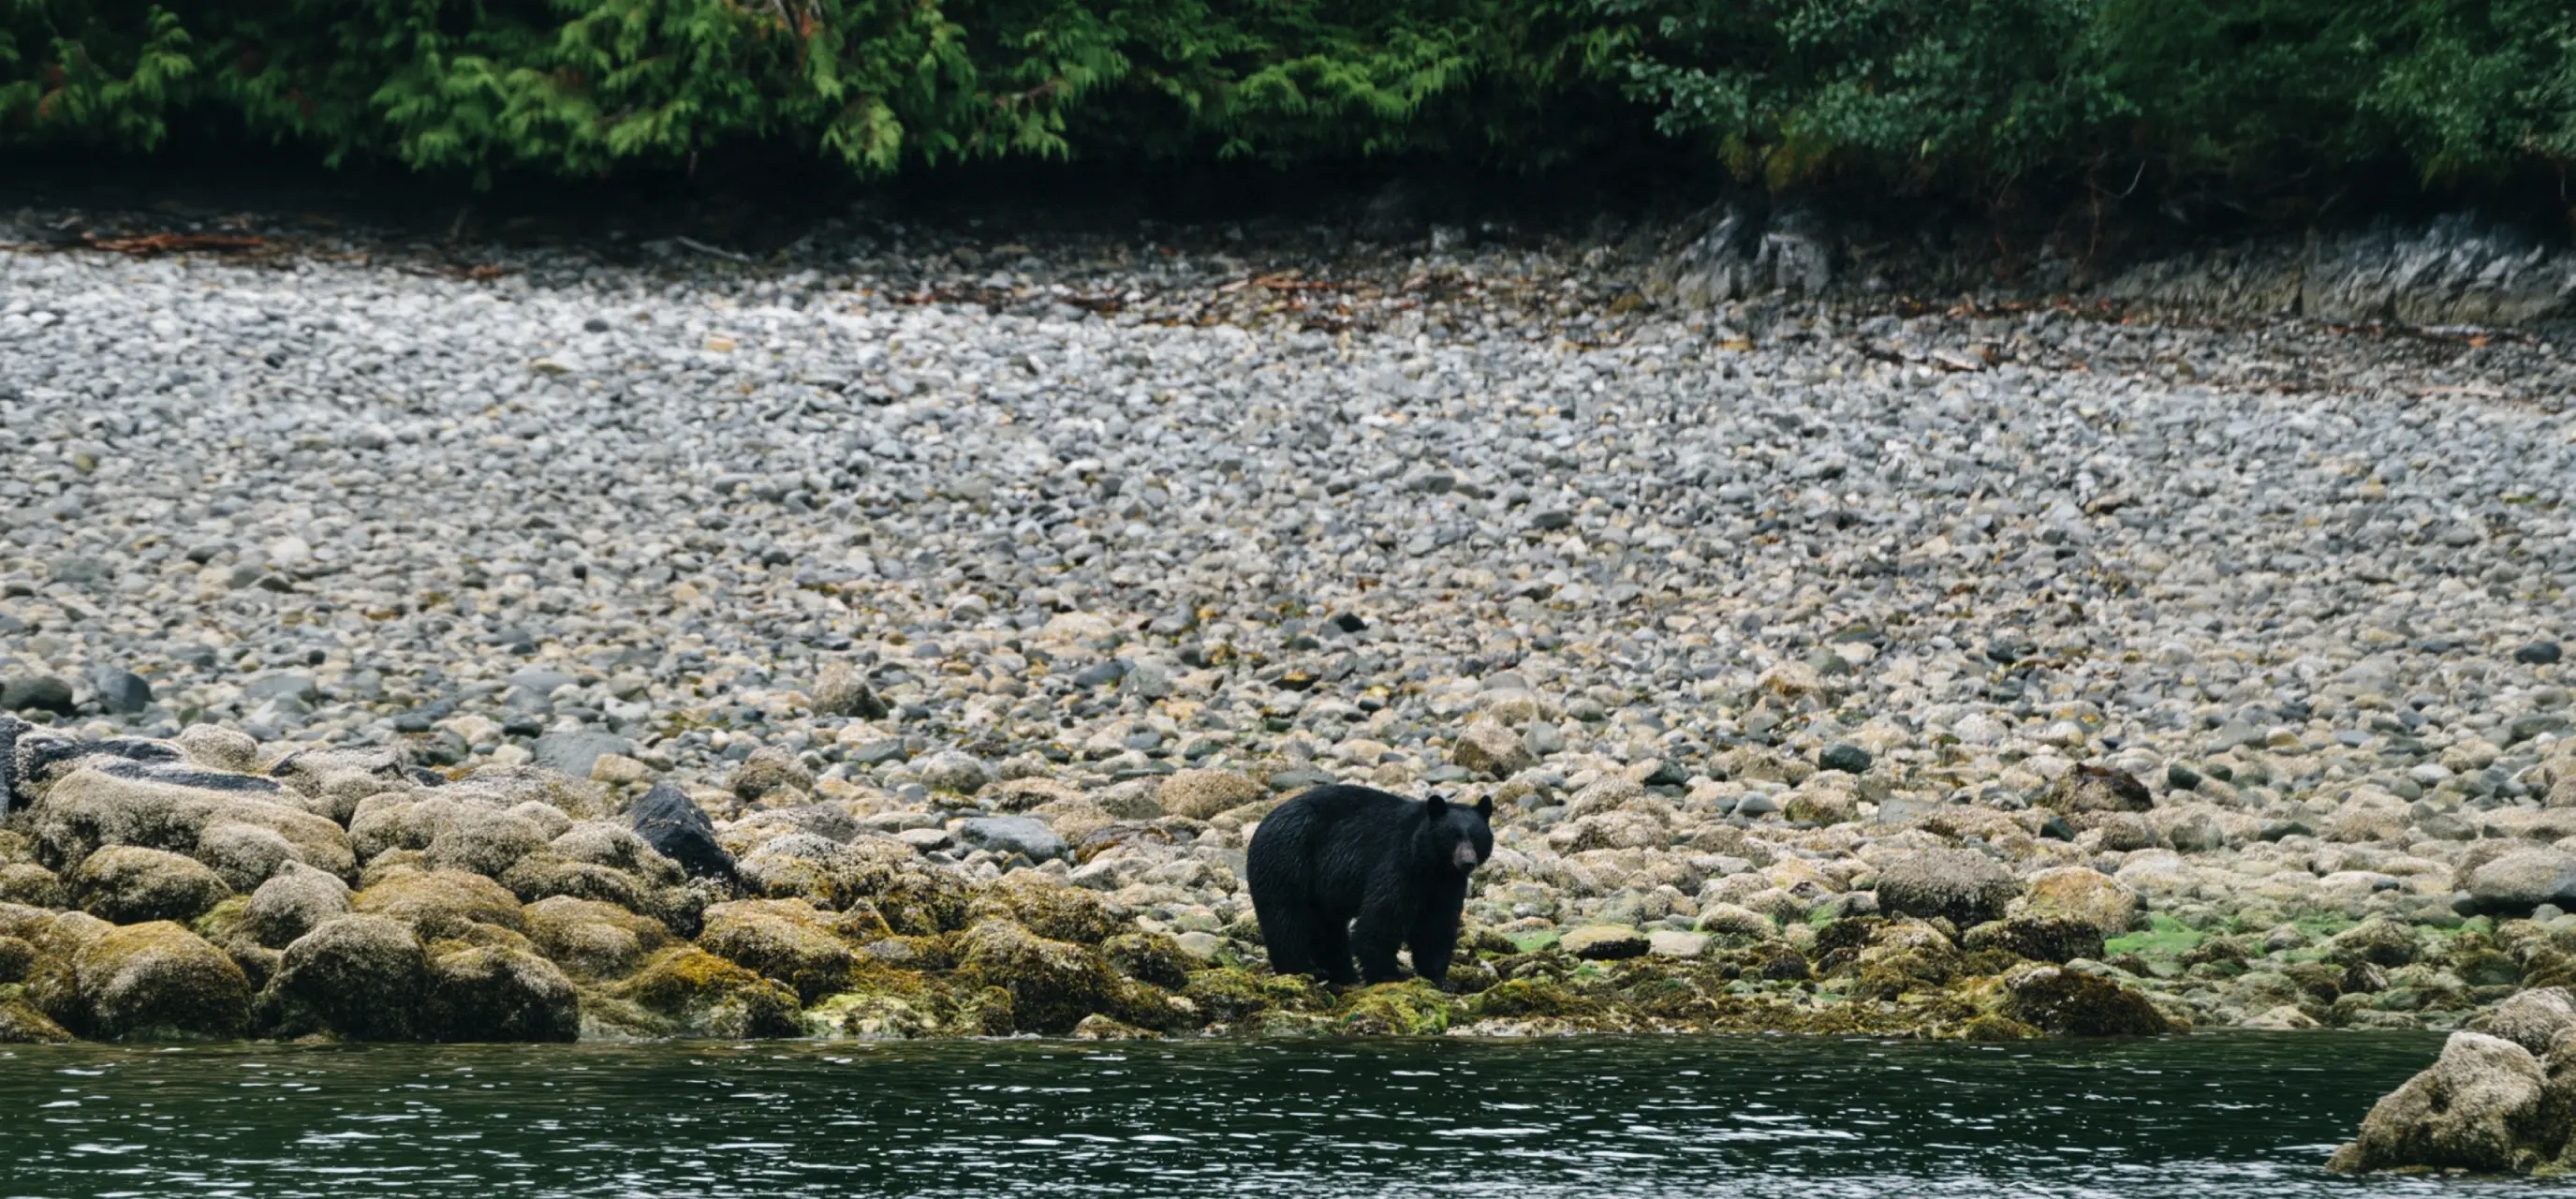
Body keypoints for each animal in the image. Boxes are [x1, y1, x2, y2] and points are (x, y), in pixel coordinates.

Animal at [1245, 784, 1494, 987]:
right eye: (1453, 836)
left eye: (1476, 836)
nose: (1467, 861)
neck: (1432, 866)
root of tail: (1263, 824)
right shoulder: (1399, 864)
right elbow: (1381, 919)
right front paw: (1390, 974)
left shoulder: (1446, 885)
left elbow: (1436, 925)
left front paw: (1439, 979)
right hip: (1288, 860)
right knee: (1286, 917)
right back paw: (1304, 970)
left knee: (1326, 925)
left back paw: (1342, 974)